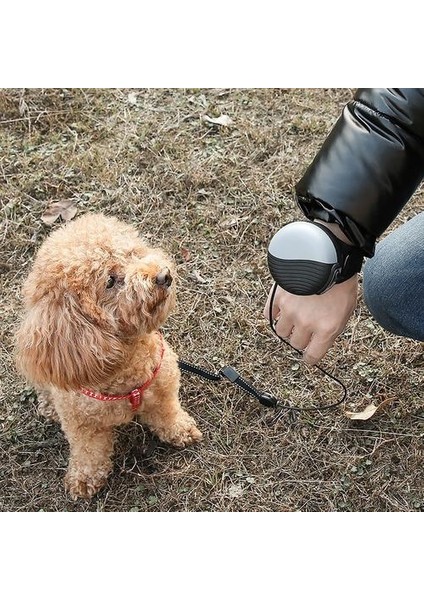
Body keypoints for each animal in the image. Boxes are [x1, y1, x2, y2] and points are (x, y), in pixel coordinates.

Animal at [14, 213, 202, 500]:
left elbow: (168, 413)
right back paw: (48, 408)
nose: (164, 275)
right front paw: (83, 480)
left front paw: (181, 430)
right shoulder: (82, 425)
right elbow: (89, 452)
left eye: (133, 254)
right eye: (111, 281)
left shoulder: (164, 388)